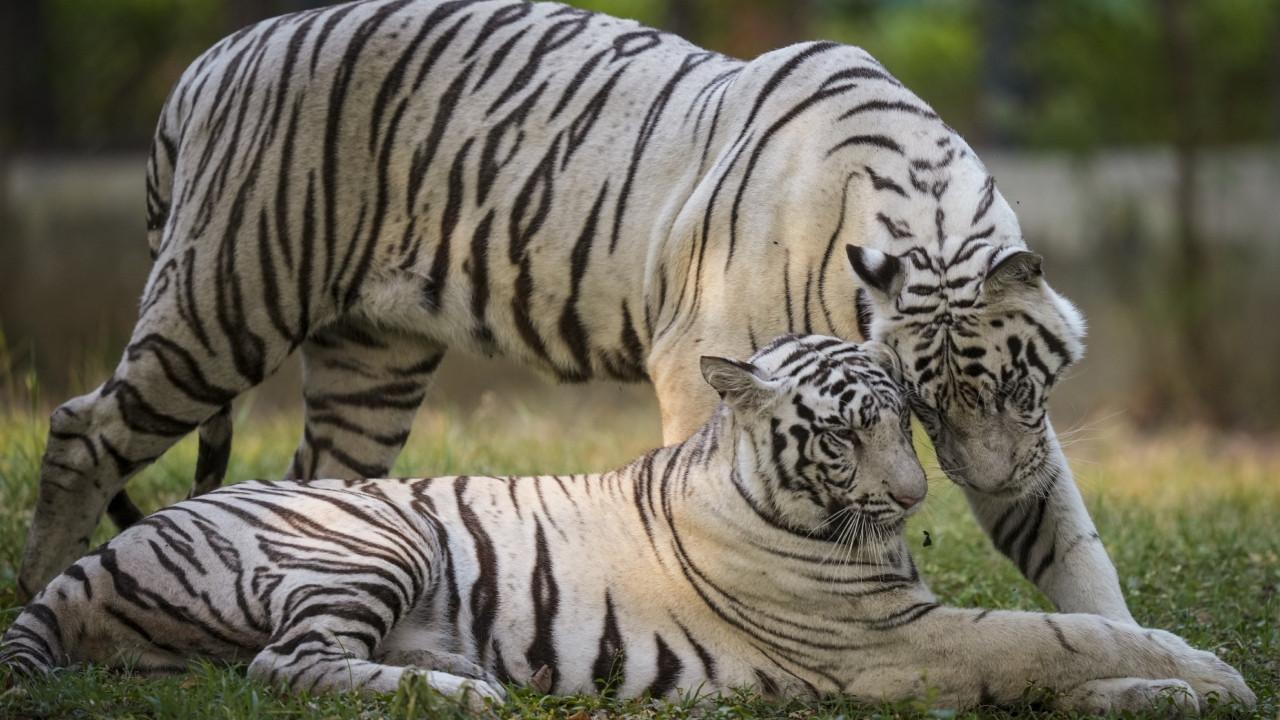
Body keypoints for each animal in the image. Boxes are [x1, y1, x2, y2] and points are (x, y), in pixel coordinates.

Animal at [1, 336, 1254, 713]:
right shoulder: (887, 642)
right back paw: (466, 694)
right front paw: (1211, 673)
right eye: (842, 439)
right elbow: (1057, 635)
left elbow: (1064, 660)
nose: (907, 499)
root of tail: (101, 555)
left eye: (905, 423)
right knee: (285, 664)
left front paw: (1167, 693)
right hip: (364, 542)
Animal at [18, 0, 1131, 633]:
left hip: (369, 363)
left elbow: (1068, 544)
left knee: (311, 485)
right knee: (84, 429)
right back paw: (34, 592)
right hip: (227, 299)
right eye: (931, 406)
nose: (994, 481)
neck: (925, 207)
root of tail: (209, 60)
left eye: (1016, 387)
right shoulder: (706, 367)